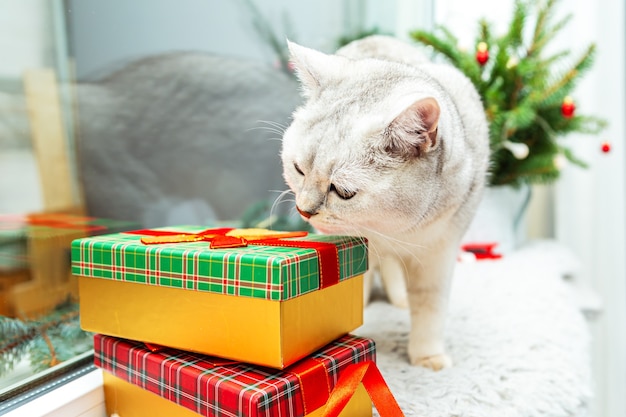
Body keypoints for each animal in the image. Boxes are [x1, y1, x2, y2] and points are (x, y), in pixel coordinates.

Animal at [278, 35, 488, 368]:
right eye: (298, 169)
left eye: (343, 192)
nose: (304, 210)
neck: (390, 229)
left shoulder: (439, 253)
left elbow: (431, 306)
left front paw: (428, 356)